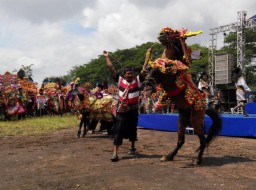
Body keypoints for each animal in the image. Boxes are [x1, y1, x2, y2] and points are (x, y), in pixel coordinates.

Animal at [144, 27, 222, 165]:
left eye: (171, 33)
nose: (160, 34)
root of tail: (204, 108)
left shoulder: (169, 76)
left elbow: (159, 69)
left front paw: (150, 83)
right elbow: (151, 67)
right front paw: (148, 82)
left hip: (196, 120)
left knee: (202, 140)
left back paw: (197, 160)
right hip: (182, 121)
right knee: (181, 141)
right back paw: (168, 156)